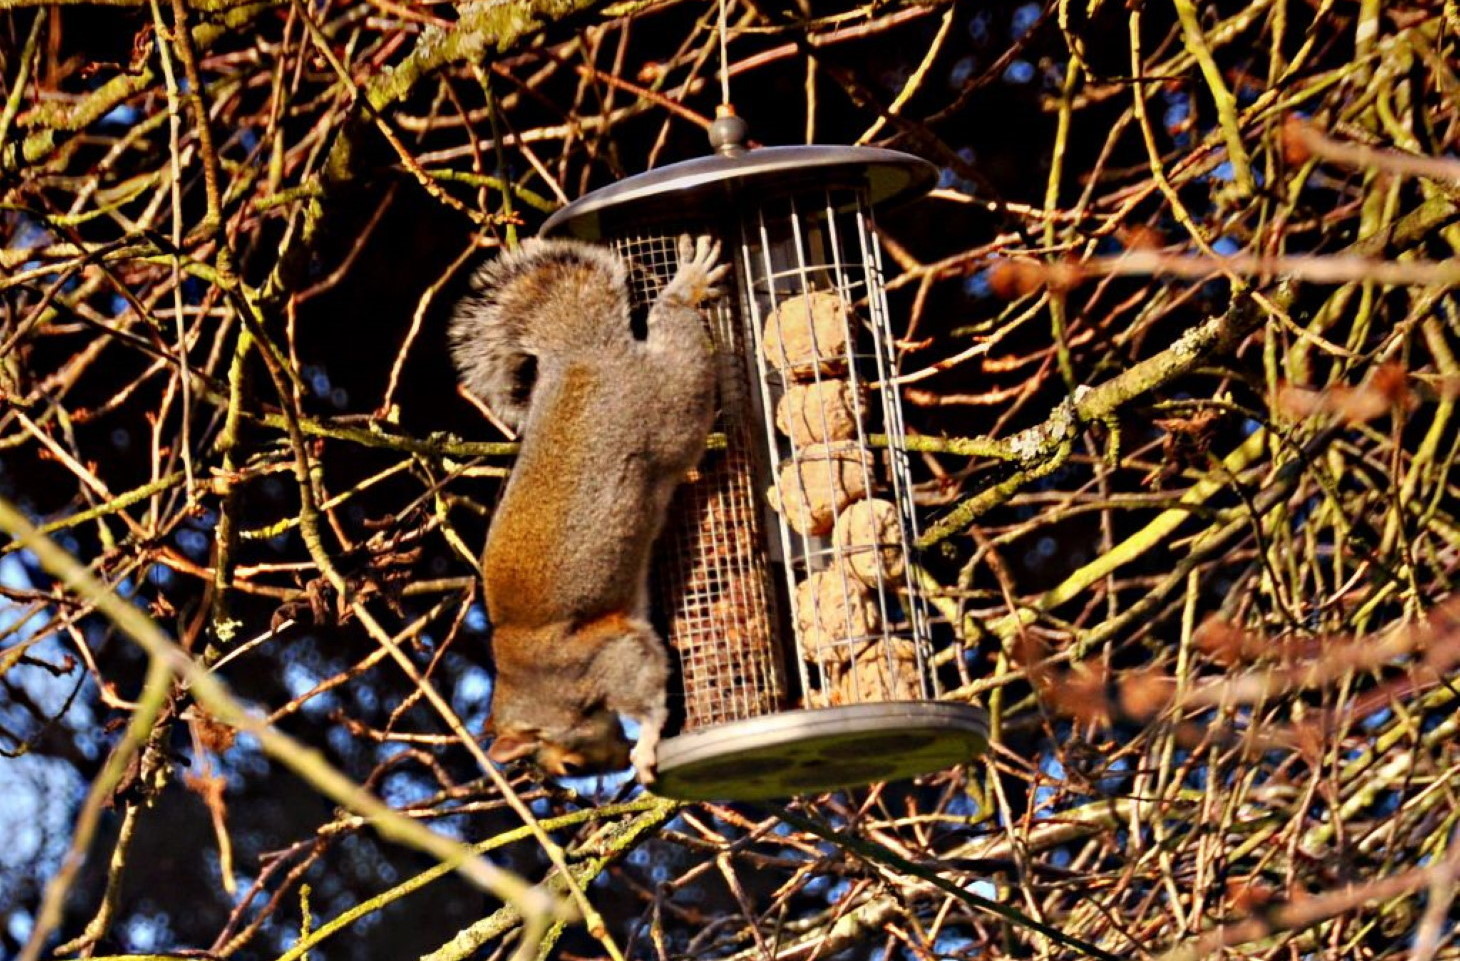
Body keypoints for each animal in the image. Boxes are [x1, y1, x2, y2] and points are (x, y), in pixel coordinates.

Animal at [449, 234, 726, 783]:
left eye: (569, 762)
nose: (615, 763)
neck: (529, 683)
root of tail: (581, 350)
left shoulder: (602, 656)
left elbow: (643, 685)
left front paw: (646, 745)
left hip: (671, 405)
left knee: (676, 336)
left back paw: (687, 284)